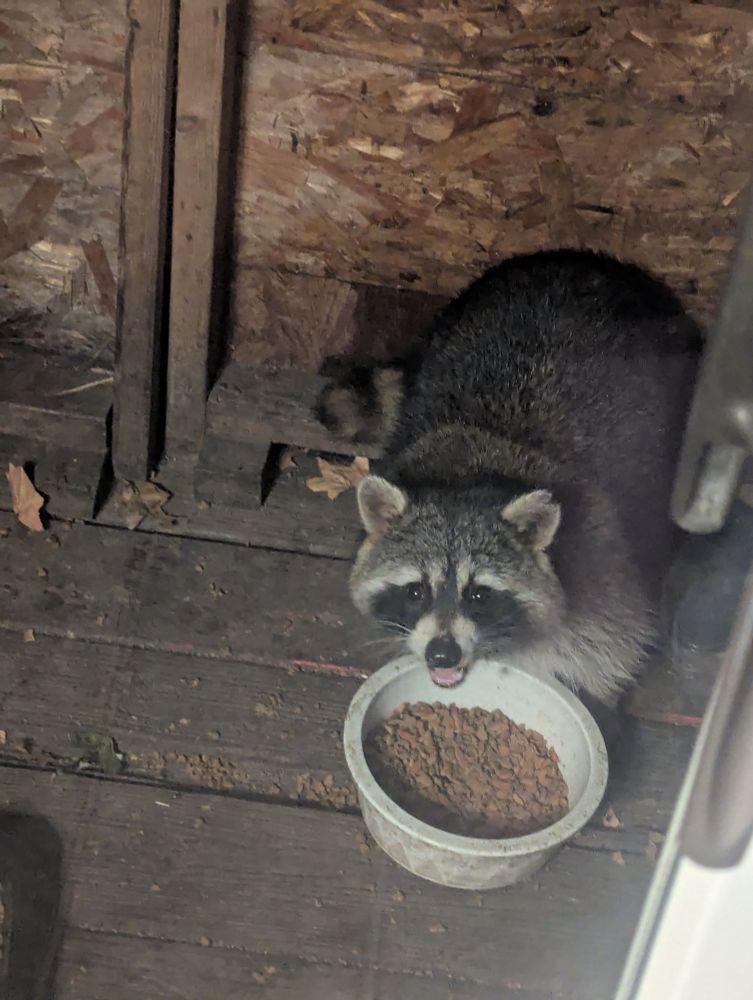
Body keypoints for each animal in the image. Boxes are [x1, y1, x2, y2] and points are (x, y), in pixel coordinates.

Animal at [318, 251, 702, 705]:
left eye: (479, 594)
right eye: (416, 591)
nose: (442, 654)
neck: (466, 472)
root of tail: (589, 260)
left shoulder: (601, 560)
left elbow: (613, 644)